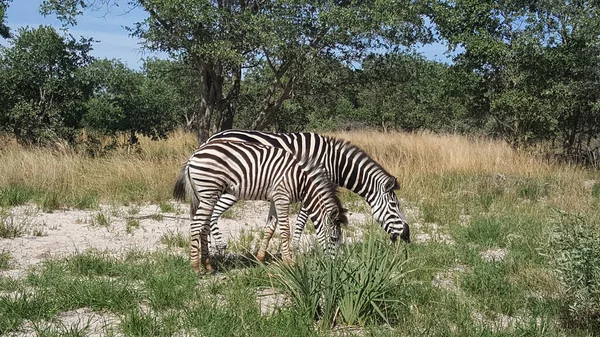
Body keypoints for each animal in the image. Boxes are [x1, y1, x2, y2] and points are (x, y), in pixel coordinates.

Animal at [172, 140, 346, 272]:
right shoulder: (282, 197)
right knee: (196, 225)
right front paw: (289, 262)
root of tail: (193, 156)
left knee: (204, 226)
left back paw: (207, 265)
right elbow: (285, 230)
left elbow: (270, 228)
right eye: (334, 238)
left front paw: (260, 259)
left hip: (205, 195)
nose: (335, 266)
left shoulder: (275, 198)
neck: (301, 182)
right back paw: (195, 267)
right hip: (209, 192)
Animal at [204, 129, 410, 249]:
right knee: (211, 213)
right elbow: (303, 220)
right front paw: (295, 248)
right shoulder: (312, 187)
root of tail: (212, 137)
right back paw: (218, 247)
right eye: (394, 205)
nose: (407, 236)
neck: (335, 163)